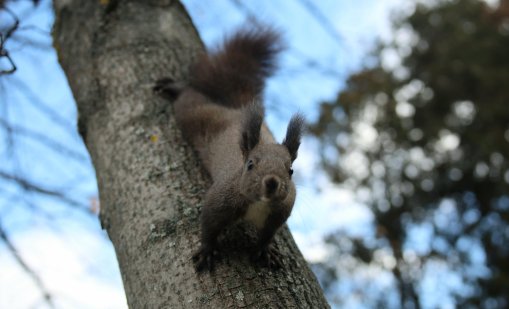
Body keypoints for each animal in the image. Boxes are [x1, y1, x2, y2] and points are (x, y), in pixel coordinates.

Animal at [154, 26, 302, 272]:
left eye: (290, 170)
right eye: (250, 164)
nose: (272, 182)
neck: (258, 205)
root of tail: (234, 110)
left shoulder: (279, 214)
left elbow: (267, 236)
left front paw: (265, 250)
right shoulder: (219, 199)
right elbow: (208, 225)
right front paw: (206, 251)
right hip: (192, 115)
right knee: (188, 97)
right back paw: (175, 87)